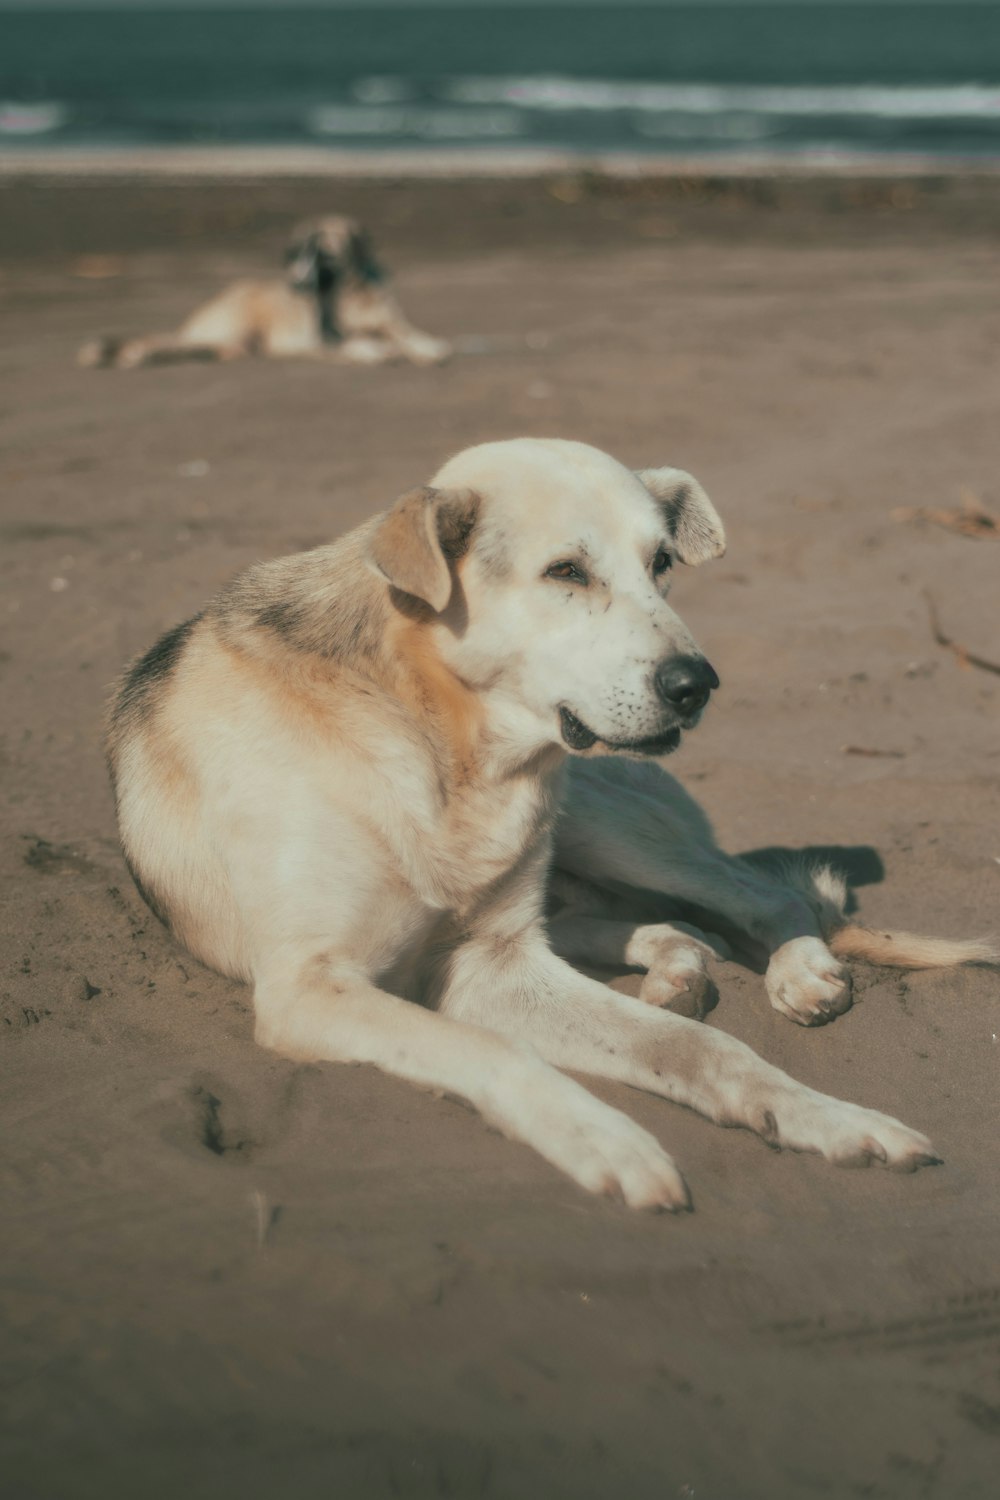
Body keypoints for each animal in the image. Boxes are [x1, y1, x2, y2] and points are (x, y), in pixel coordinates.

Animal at [80, 216, 452, 370]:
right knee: (162, 343)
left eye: (325, 255)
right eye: (293, 254)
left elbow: (408, 334)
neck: (351, 298)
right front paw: (373, 351)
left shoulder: (390, 321)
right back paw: (134, 356)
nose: (295, 284)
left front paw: (428, 348)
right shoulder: (314, 340)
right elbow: (354, 344)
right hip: (230, 327)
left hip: (230, 342)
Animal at [105, 438, 995, 1206]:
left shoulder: (490, 963)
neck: (442, 742)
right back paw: (675, 963)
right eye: (567, 571)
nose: (696, 685)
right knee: (639, 921)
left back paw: (793, 970)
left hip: (605, 824)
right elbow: (490, 1046)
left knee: (762, 895)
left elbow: (697, 1046)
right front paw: (610, 1140)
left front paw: (832, 1118)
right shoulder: (311, 986)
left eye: (661, 564)